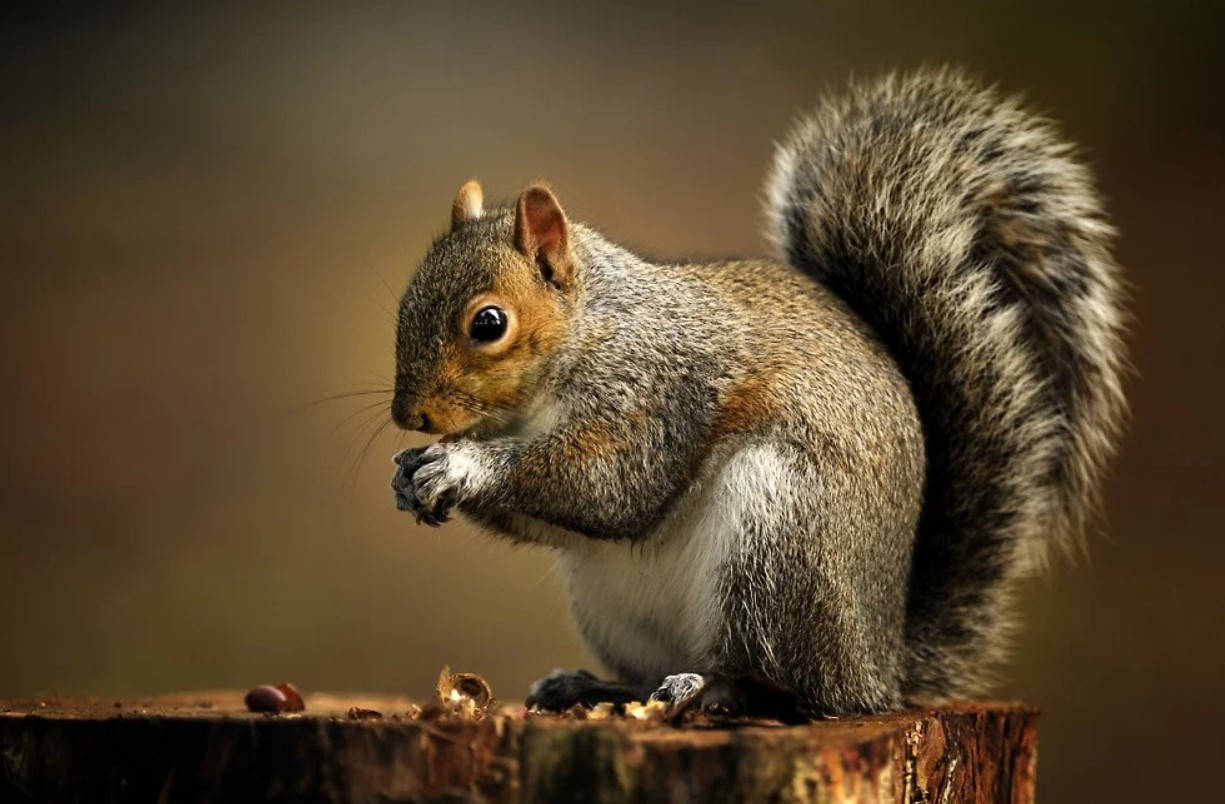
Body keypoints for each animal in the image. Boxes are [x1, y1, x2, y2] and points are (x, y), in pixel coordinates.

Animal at [387, 69, 1122, 720]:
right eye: (405, 301)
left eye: (489, 324)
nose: (408, 416)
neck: (588, 331)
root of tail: (880, 668)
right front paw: (411, 474)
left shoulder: (658, 391)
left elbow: (609, 487)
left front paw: (463, 465)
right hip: (616, 604)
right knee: (657, 673)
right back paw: (595, 688)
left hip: (777, 543)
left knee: (782, 686)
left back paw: (710, 690)